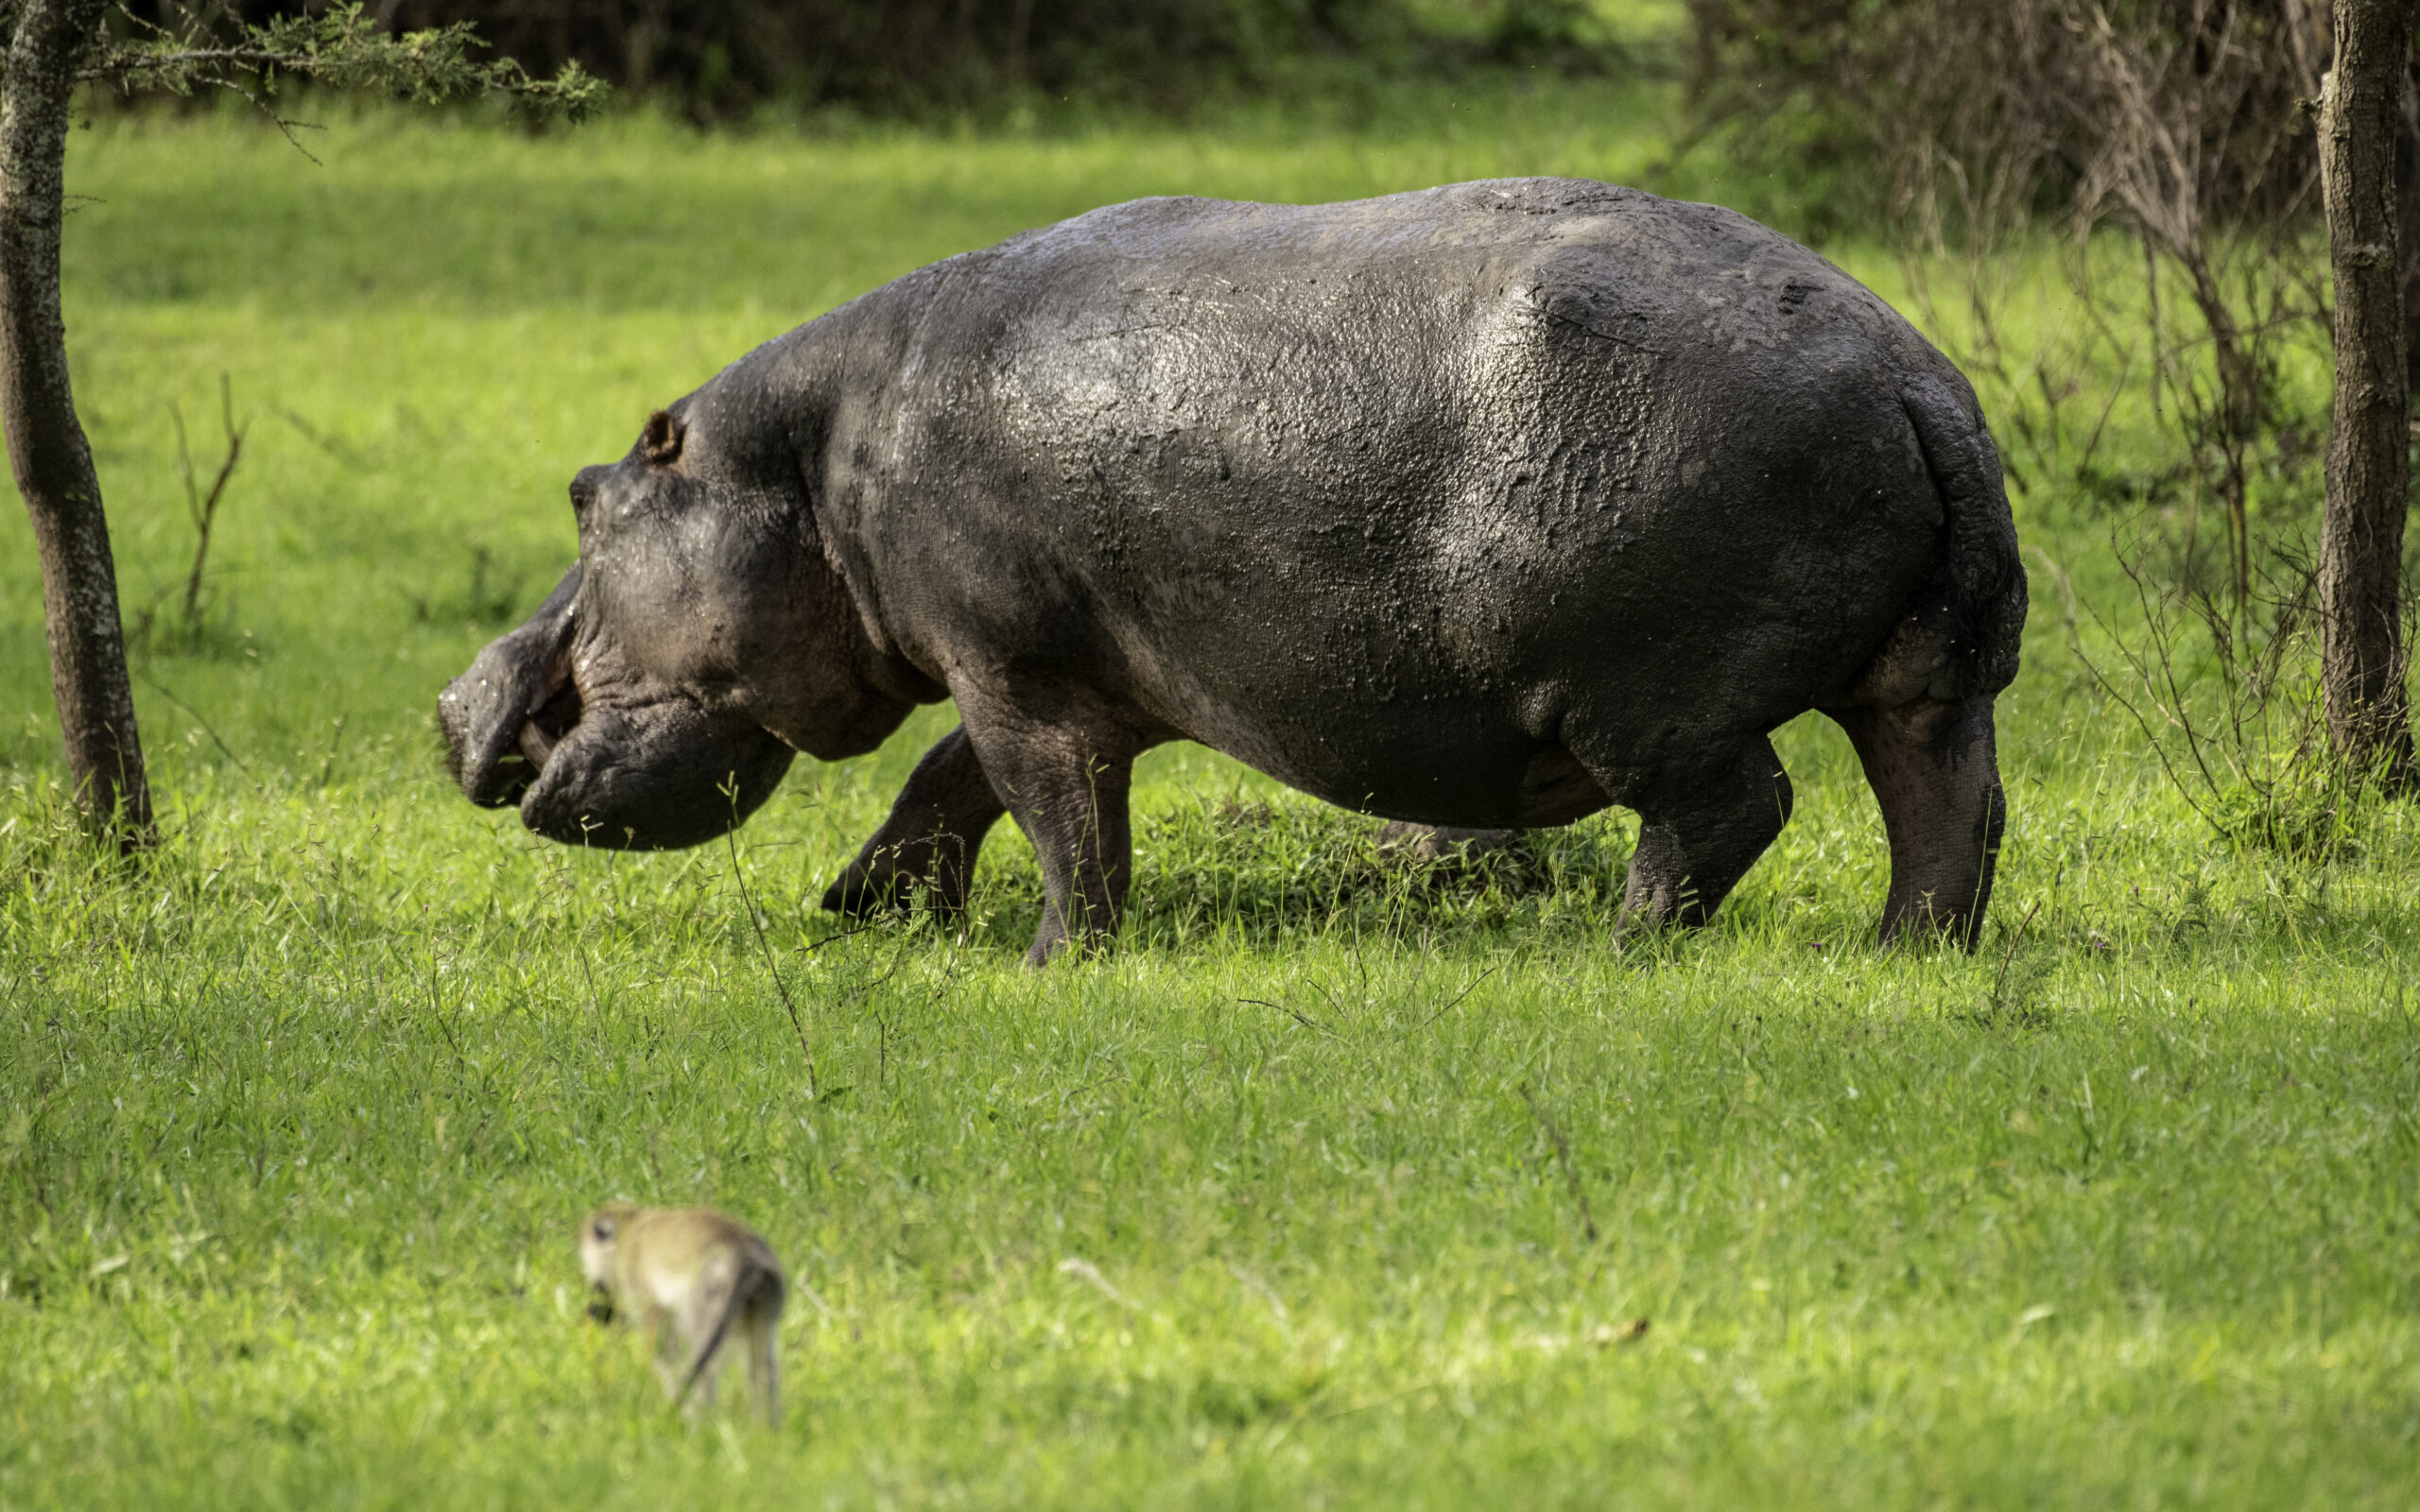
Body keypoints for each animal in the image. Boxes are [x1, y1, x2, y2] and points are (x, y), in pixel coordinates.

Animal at [439, 178, 2025, 964]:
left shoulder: (1011, 665)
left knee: (1732, 812)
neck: (808, 458)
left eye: (584, 499)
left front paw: (1051, 963)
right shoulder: (1057, 662)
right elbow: (948, 781)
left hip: (1642, 700)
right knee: (1950, 808)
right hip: (1928, 676)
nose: (452, 707)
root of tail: (1912, 374)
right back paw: (1904, 956)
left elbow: (1051, 811)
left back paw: (1623, 951)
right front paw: (866, 911)